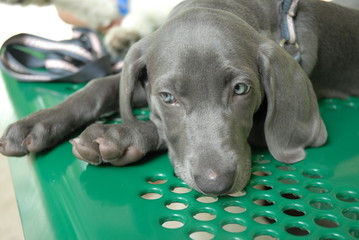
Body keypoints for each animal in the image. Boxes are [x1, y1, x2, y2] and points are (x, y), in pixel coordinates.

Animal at [0, 0, 359, 197]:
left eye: (241, 90)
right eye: (168, 97)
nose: (216, 184)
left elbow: (160, 128)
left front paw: (117, 135)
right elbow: (99, 87)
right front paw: (35, 124)